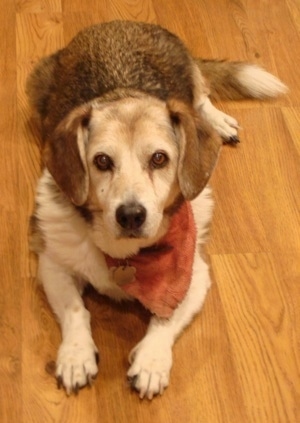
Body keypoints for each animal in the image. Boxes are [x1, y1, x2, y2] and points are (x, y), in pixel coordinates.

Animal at [27, 19, 288, 400]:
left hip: (189, 74)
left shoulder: (193, 275)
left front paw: (151, 362)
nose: (131, 215)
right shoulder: (53, 263)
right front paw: (76, 356)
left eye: (159, 158)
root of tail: (118, 22)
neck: (126, 254)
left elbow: (165, 316)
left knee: (201, 97)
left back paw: (217, 122)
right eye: (101, 161)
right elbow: (77, 310)